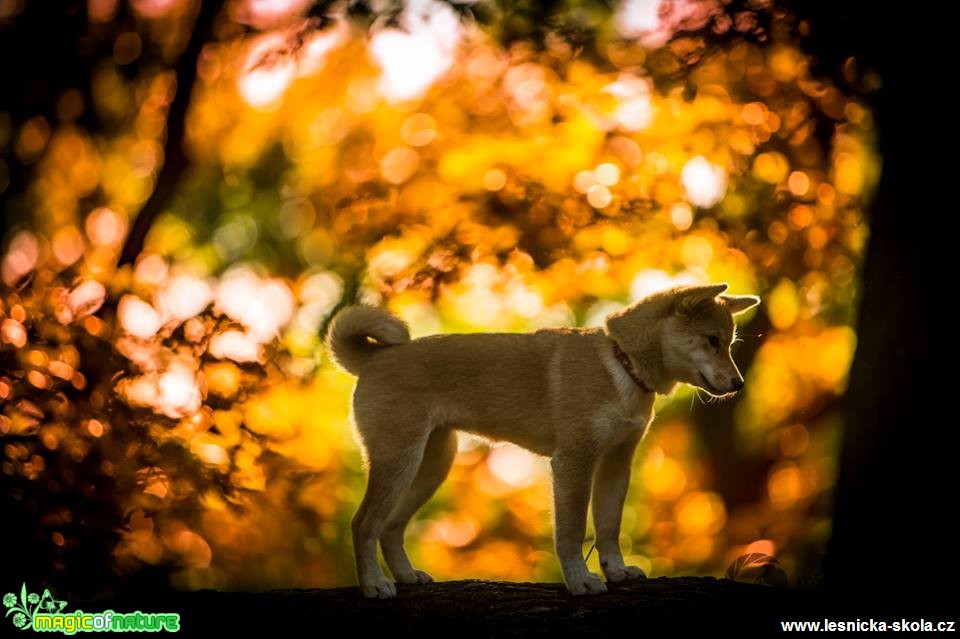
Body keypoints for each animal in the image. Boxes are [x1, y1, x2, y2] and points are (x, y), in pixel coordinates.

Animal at [326, 282, 760, 596]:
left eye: (729, 343)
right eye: (712, 340)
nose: (739, 384)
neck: (621, 364)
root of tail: (374, 359)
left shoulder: (617, 461)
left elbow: (608, 526)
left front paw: (617, 570)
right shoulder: (575, 460)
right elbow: (571, 531)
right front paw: (580, 580)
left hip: (431, 466)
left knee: (390, 527)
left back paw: (405, 576)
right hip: (399, 460)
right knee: (364, 524)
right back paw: (375, 585)